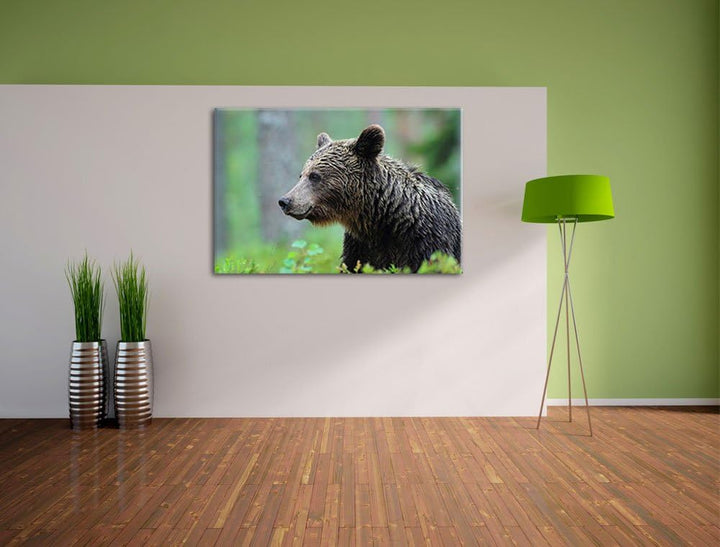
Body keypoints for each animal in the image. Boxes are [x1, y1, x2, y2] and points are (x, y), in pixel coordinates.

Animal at [278, 124, 461, 272]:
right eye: (301, 175)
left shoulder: (427, 241)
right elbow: (353, 265)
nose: (285, 201)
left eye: (315, 176)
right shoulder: (360, 246)